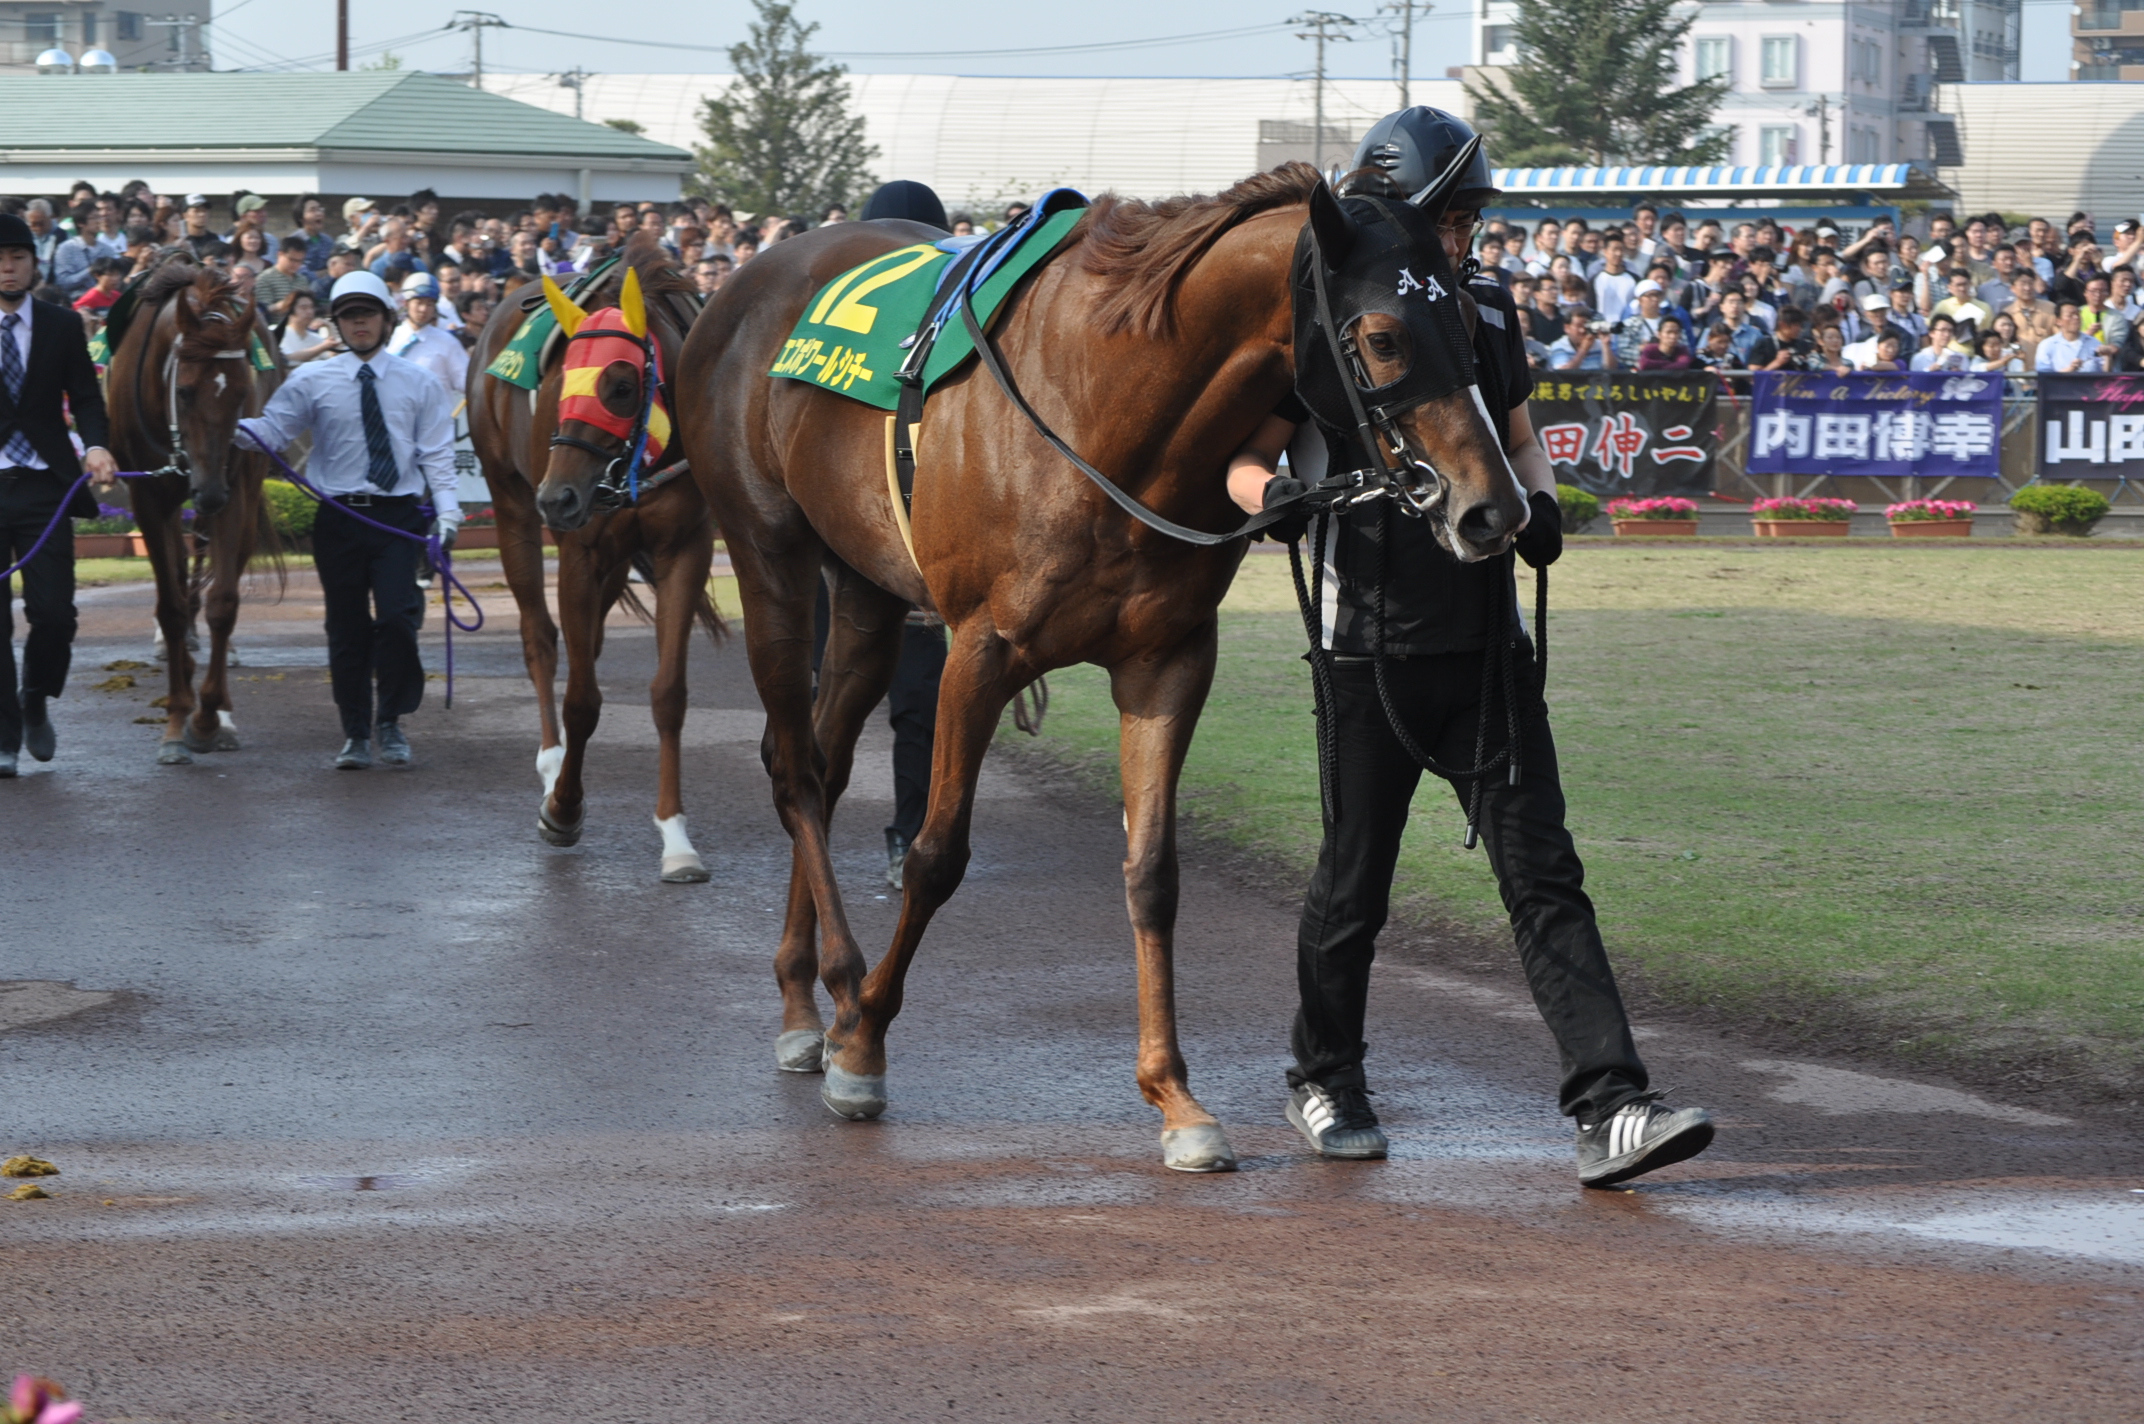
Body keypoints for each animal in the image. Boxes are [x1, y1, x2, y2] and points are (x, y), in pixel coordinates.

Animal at [105, 258, 283, 767]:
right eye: (183, 391)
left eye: (241, 392)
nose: (209, 493)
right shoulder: (150, 496)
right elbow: (171, 605)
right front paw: (175, 721)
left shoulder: (235, 487)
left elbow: (223, 602)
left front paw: (209, 718)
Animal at [465, 239, 724, 879]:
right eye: (563, 385)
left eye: (621, 386)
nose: (558, 497)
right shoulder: (580, 550)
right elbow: (581, 699)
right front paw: (562, 807)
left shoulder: (684, 544)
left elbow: (669, 693)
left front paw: (676, 837)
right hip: (510, 502)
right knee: (540, 637)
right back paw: (551, 762)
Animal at [647, 164, 1526, 1166]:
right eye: (1382, 337)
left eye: (1468, 321)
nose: (1494, 510)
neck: (1104, 417)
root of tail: (743, 281)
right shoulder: (979, 650)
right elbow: (936, 854)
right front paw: (865, 1046)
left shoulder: (1167, 661)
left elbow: (1152, 873)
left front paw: (1175, 1097)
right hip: (771, 560)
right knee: (794, 768)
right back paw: (836, 991)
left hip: (866, 590)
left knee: (826, 768)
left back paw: (805, 995)